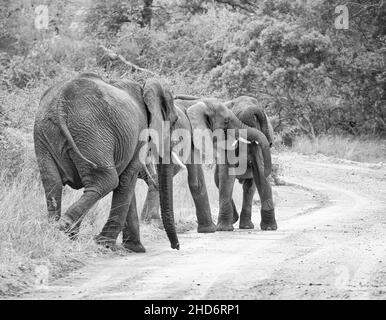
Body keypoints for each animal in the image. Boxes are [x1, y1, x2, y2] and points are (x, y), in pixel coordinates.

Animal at [33, 73, 184, 252]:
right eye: (173, 122)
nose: (176, 247)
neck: (144, 88)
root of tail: (60, 103)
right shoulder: (138, 136)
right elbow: (126, 180)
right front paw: (107, 244)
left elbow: (126, 183)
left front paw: (134, 248)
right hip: (92, 132)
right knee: (107, 180)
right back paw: (64, 228)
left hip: (45, 133)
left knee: (52, 182)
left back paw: (55, 232)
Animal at [137, 95, 276, 232]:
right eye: (226, 121)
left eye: (256, 122)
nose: (270, 142)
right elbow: (225, 175)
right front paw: (221, 229)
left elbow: (259, 172)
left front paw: (270, 228)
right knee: (220, 181)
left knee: (249, 188)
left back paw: (246, 226)